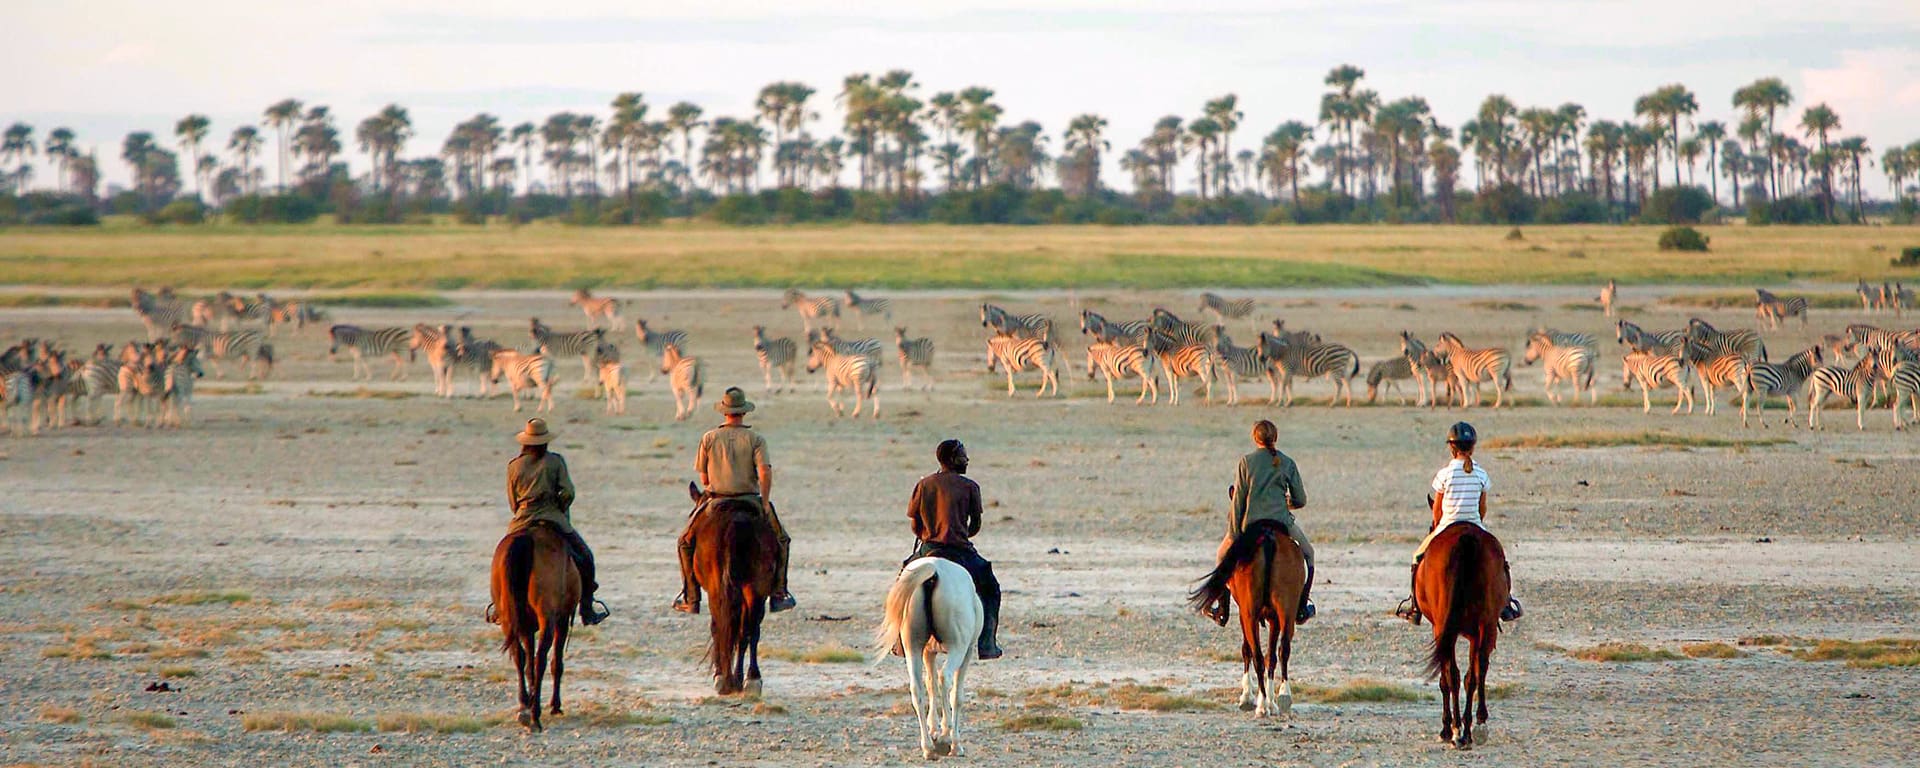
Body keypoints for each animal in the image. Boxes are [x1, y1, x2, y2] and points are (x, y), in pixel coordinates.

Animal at [487, 522, 576, 733]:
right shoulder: (562, 619)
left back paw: (524, 708)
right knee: (541, 659)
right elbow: (556, 663)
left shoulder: (526, 627)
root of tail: (526, 539)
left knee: (518, 656)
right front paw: (555, 705)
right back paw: (535, 716)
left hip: (508, 618)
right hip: (547, 618)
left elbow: (526, 661)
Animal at [687, 485, 783, 695]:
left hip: (723, 589)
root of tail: (736, 522)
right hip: (755, 589)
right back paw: (748, 679)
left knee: (724, 626)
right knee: (748, 629)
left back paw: (728, 679)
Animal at [875, 556, 983, 760]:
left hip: (913, 647)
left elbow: (930, 684)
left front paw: (934, 729)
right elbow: (956, 694)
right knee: (945, 678)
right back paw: (950, 740)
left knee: (917, 688)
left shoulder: (928, 653)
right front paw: (949, 736)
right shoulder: (968, 651)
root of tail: (934, 571)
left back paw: (928, 747)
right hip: (958, 647)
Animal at [1182, 518, 1305, 718]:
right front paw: (1270, 700)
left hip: (1249, 615)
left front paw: (1247, 696)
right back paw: (1282, 696)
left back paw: (1262, 706)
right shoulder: (1273, 618)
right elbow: (1271, 656)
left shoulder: (1243, 614)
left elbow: (1247, 649)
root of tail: (1268, 537)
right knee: (1282, 650)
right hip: (1286, 610)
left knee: (1257, 656)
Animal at [1420, 522, 1505, 748]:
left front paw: (1446, 728)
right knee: (1476, 670)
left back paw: (1457, 730)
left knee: (1455, 674)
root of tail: (1465, 538)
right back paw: (1473, 727)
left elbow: (1446, 678)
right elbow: (1472, 674)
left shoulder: (1440, 628)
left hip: (1448, 626)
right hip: (1486, 625)